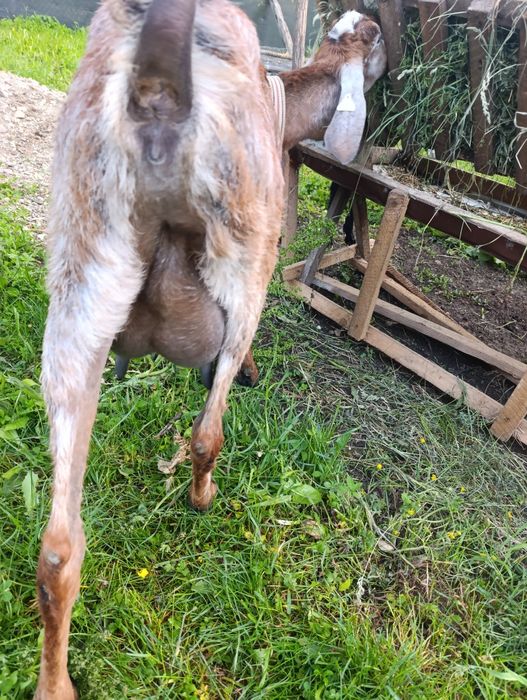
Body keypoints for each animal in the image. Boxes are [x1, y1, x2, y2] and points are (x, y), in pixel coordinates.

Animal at [36, 2, 386, 697]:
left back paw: (54, 683)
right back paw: (204, 495)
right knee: (207, 434)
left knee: (58, 549)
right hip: (241, 255)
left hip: (80, 283)